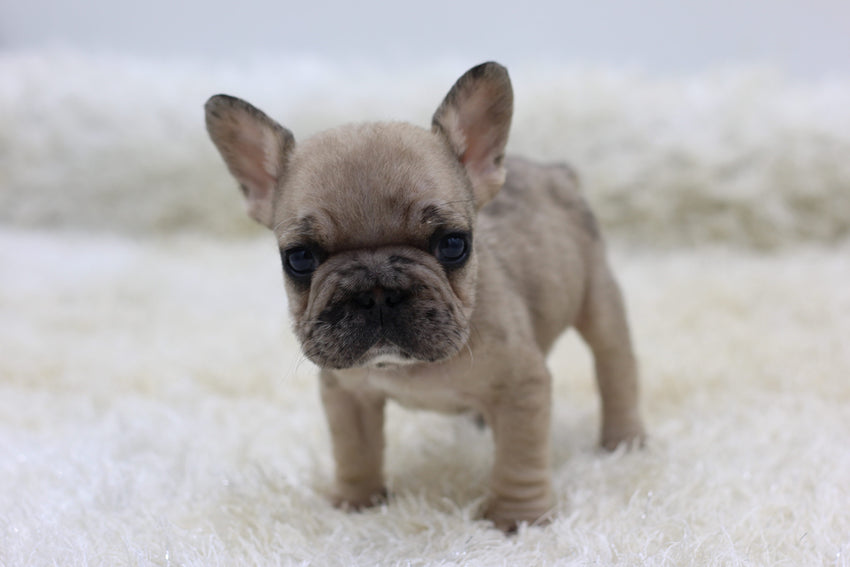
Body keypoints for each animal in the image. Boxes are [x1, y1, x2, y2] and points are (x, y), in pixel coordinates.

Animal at [205, 62, 644, 532]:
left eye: (453, 244)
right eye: (299, 258)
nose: (377, 290)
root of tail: (556, 172)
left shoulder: (522, 388)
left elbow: (519, 459)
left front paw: (516, 519)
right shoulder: (348, 395)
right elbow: (354, 451)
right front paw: (355, 502)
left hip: (599, 297)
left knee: (614, 364)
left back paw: (624, 441)